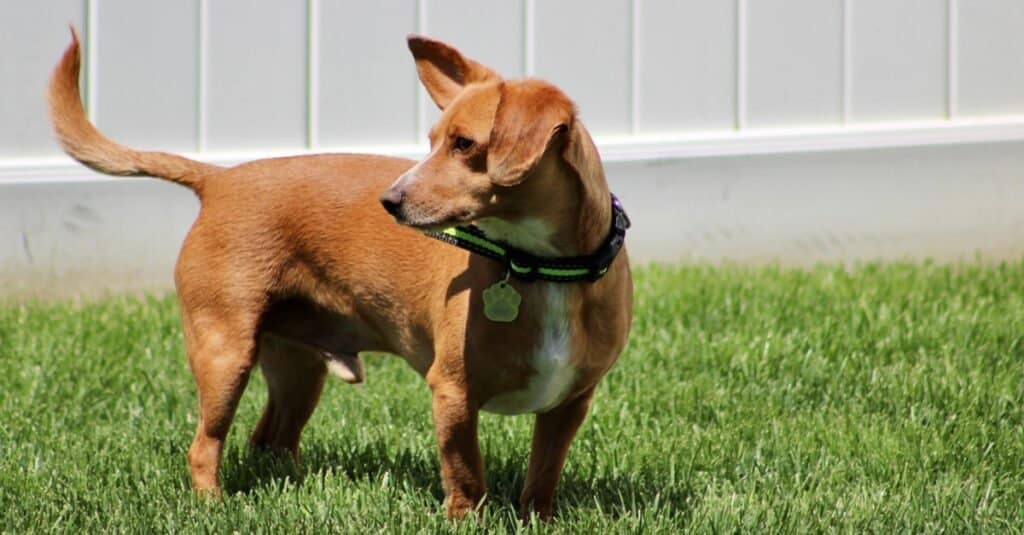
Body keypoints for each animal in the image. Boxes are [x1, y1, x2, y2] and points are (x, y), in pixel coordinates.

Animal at [51, 29, 634, 516]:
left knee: (271, 439)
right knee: (204, 444)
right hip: (224, 352)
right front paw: (466, 520)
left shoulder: (570, 404)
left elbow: (543, 473)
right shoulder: (452, 394)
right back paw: (212, 506)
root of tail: (218, 178)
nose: (390, 201)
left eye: (464, 145)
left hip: (297, 366)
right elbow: (466, 475)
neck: (538, 266)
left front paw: (539, 518)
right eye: (431, 143)